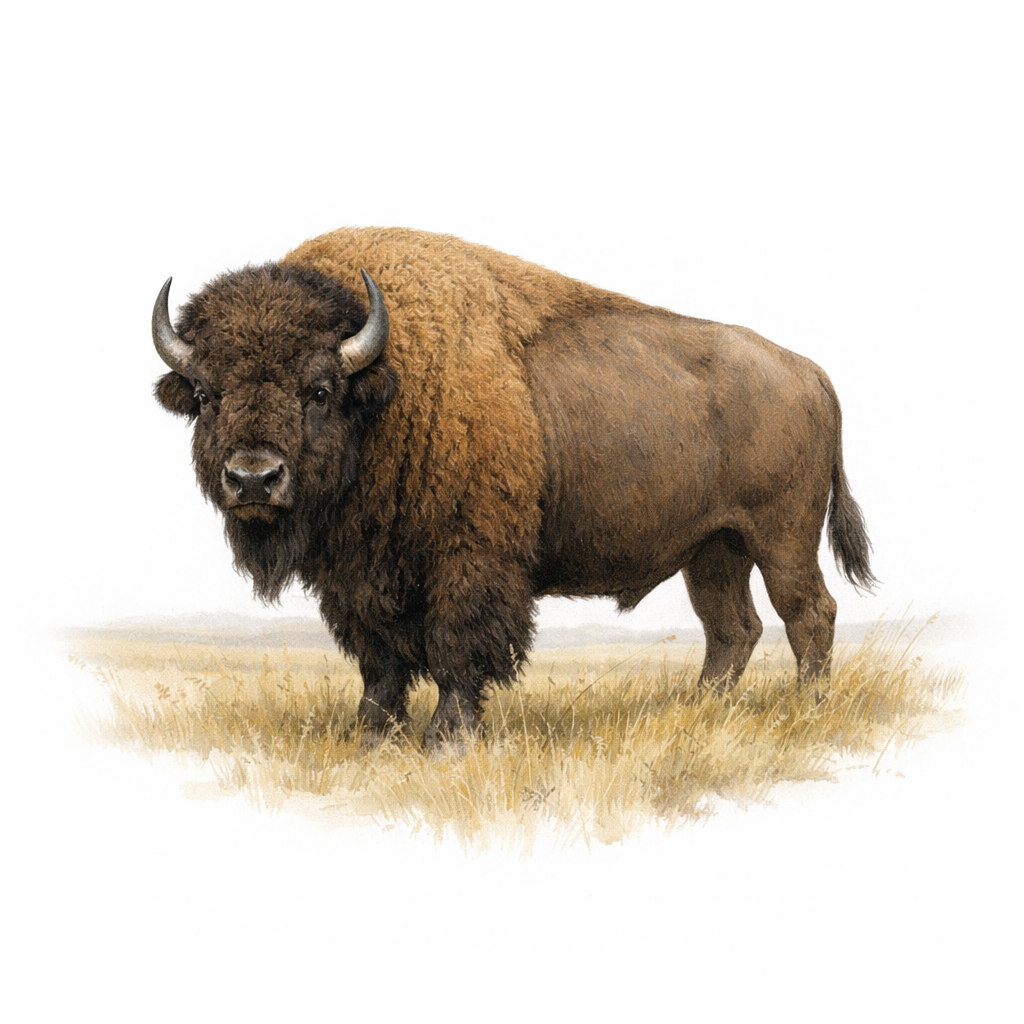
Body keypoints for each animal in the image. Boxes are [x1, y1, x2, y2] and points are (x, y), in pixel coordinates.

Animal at [152, 227, 875, 749]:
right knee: (733, 628)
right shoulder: (358, 579)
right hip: (713, 550)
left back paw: (808, 711)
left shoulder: (469, 560)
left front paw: (446, 742)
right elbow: (381, 661)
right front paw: (370, 737)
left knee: (808, 613)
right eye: (207, 395)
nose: (253, 477)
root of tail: (809, 372)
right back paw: (698, 711)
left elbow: (456, 649)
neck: (387, 385)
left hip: (781, 538)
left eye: (320, 390)